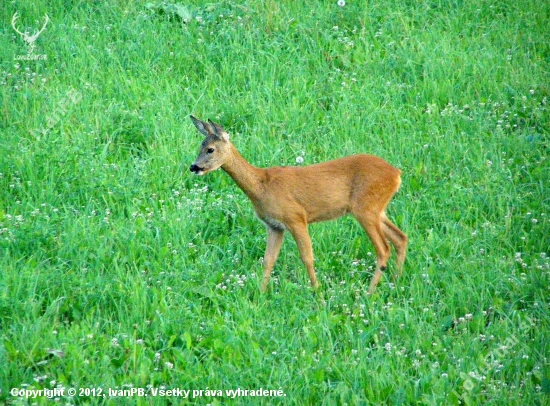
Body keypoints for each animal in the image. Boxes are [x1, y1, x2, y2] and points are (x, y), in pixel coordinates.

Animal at [191, 116, 410, 294]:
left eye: (210, 149)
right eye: (200, 146)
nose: (194, 167)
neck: (262, 186)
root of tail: (396, 174)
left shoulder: (295, 217)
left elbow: (307, 258)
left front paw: (318, 294)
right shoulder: (274, 226)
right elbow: (268, 261)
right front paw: (260, 295)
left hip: (365, 208)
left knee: (384, 249)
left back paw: (369, 293)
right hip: (377, 209)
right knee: (400, 238)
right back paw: (395, 282)